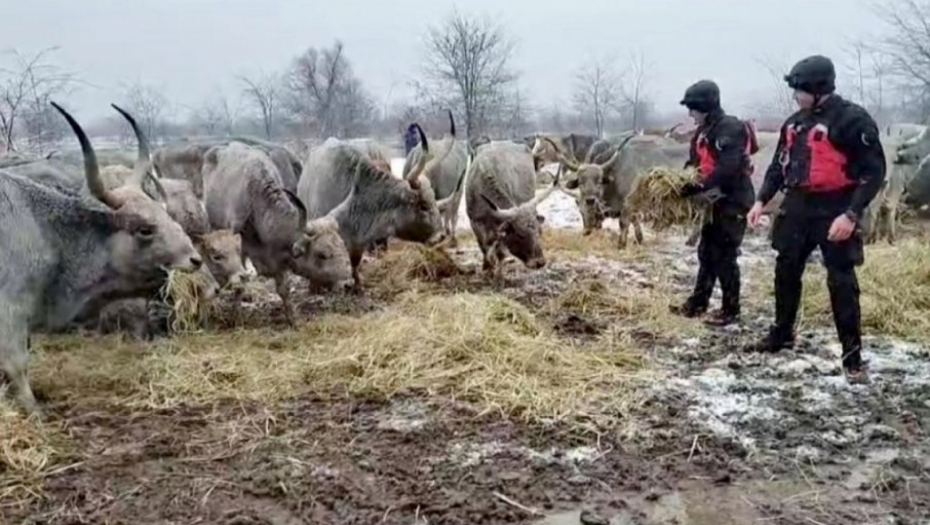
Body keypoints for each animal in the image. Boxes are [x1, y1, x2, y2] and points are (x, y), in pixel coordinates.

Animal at [0, 103, 201, 414]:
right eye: (144, 229)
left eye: (166, 214)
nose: (194, 259)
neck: (45, 229)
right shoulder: (10, 310)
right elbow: (16, 365)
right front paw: (33, 411)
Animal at [201, 141, 350, 326]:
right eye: (322, 254)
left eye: (343, 245)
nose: (347, 284)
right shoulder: (238, 249)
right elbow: (240, 281)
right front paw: (235, 315)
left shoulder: (278, 260)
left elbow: (283, 289)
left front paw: (292, 318)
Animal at [464, 139, 560, 278]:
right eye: (520, 234)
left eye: (539, 231)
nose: (539, 262)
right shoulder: (475, 223)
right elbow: (484, 247)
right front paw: (487, 268)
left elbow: (500, 252)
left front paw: (499, 274)